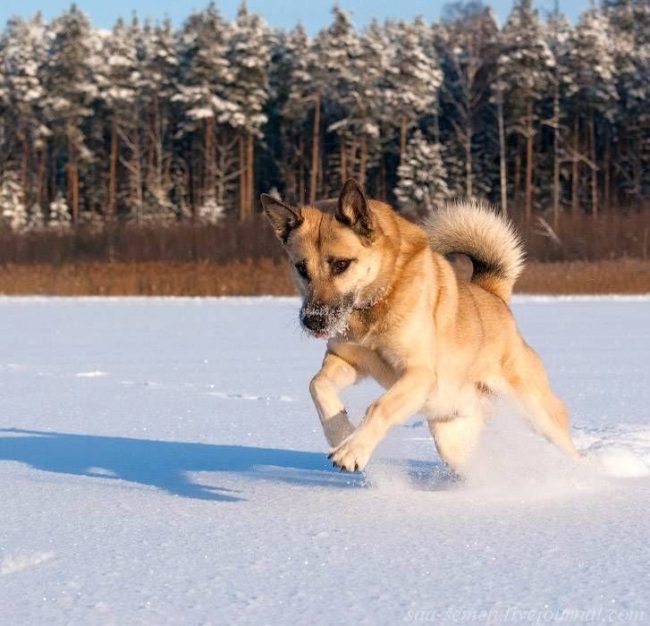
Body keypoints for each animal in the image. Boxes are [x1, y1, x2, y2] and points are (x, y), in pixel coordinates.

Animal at [258, 178, 576, 470]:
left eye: (341, 264)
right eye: (301, 268)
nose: (313, 320)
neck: (376, 302)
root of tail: (493, 295)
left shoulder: (418, 374)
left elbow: (380, 407)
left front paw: (352, 451)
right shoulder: (347, 360)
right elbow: (317, 384)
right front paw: (341, 434)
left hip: (536, 410)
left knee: (568, 445)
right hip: (450, 435)